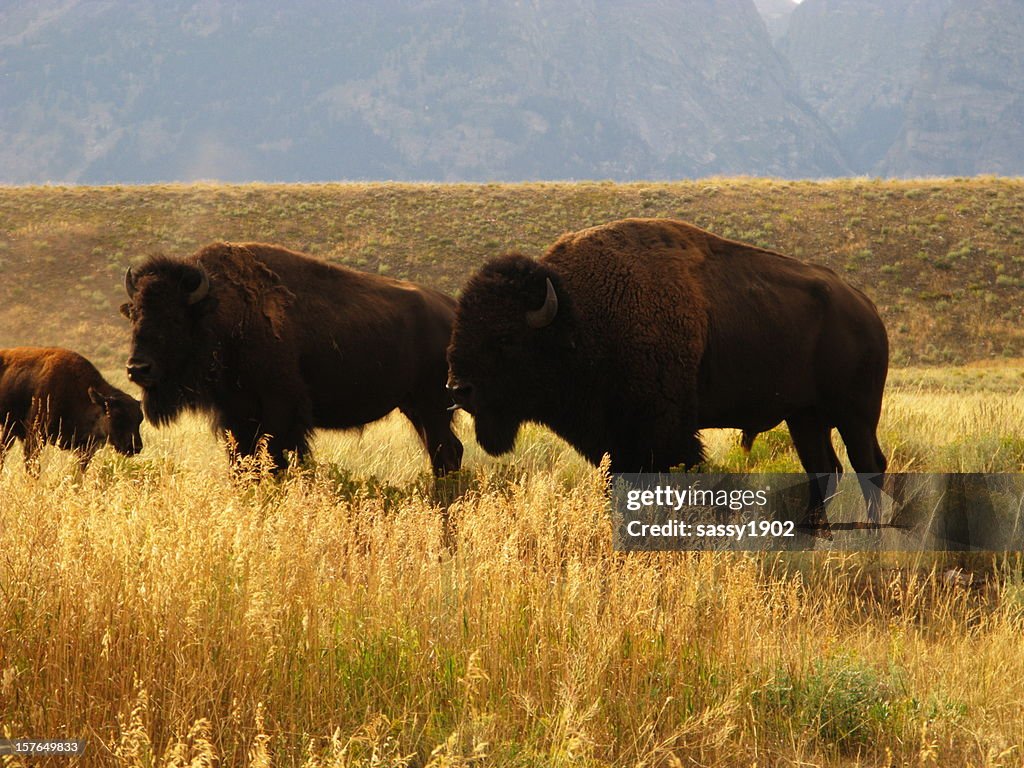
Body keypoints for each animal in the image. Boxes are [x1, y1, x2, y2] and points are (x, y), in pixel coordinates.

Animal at [448, 219, 888, 528]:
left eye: (504, 337)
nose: (457, 388)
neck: (580, 315)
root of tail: (865, 307)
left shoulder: (662, 434)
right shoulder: (616, 442)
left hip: (856, 415)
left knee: (869, 467)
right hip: (805, 418)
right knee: (824, 470)